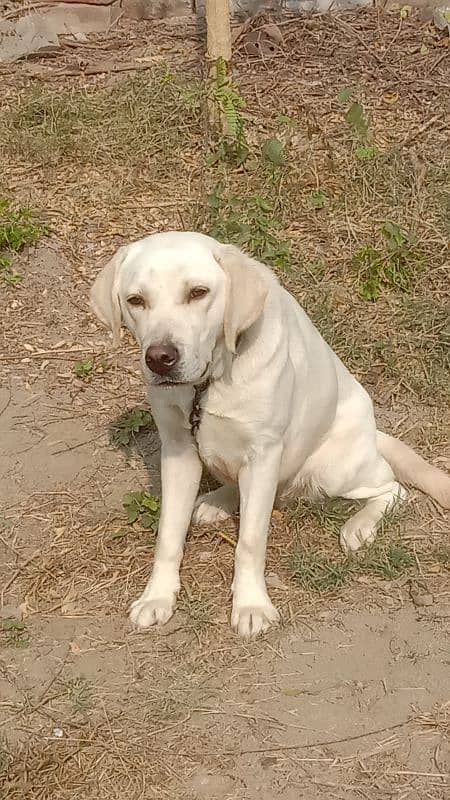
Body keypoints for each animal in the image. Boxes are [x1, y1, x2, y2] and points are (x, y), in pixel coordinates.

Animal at [90, 231, 450, 636]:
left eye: (198, 292)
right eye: (135, 300)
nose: (160, 358)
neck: (209, 381)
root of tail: (375, 435)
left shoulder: (263, 455)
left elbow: (249, 541)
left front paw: (251, 605)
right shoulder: (178, 450)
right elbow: (168, 535)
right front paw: (157, 596)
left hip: (332, 470)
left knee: (393, 489)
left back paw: (359, 527)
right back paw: (217, 501)